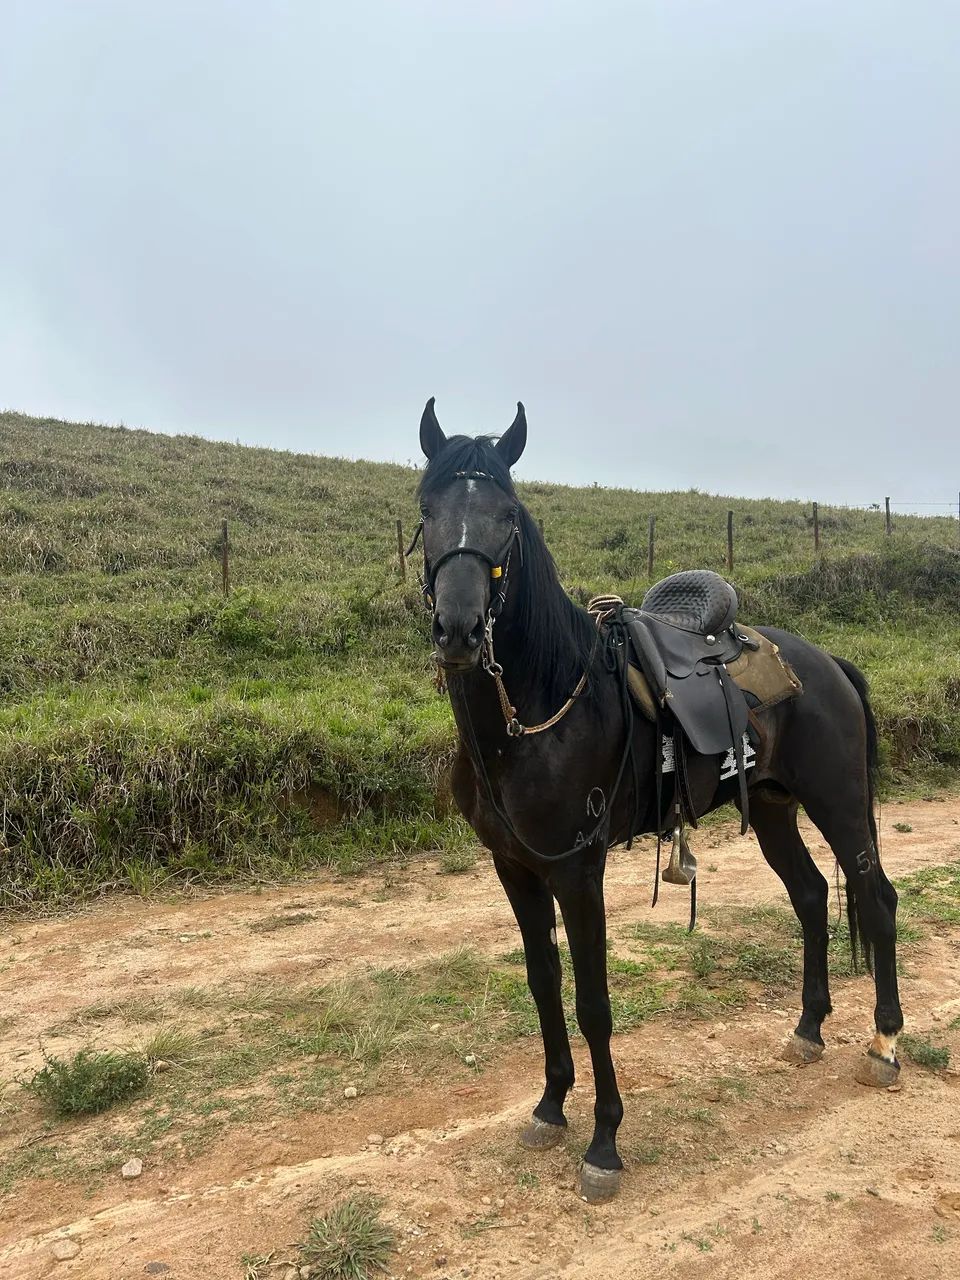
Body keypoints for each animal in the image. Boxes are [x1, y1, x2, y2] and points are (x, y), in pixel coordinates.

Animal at [411, 398, 902, 1203]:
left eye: (508, 515)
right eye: (427, 509)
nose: (457, 630)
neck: (538, 714)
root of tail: (825, 663)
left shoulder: (578, 872)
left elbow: (593, 1003)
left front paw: (604, 1144)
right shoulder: (515, 869)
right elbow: (543, 985)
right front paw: (550, 1107)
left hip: (836, 801)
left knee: (875, 897)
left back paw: (886, 1043)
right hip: (773, 807)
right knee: (809, 895)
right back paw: (808, 1030)